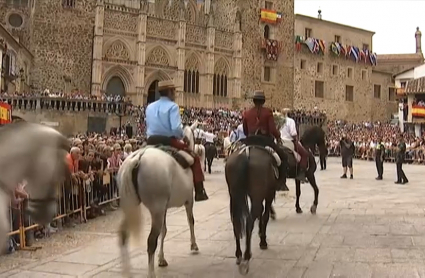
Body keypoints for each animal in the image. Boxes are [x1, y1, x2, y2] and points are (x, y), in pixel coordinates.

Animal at [117, 124, 199, 278]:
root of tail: (138, 157)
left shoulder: (164, 208)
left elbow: (164, 231)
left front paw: (161, 258)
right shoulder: (189, 201)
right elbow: (190, 221)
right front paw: (194, 245)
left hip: (131, 206)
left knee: (123, 235)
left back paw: (127, 271)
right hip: (156, 209)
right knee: (151, 241)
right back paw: (151, 273)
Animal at [224, 137, 280, 274]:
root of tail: (245, 154)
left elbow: (260, 214)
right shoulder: (269, 193)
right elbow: (264, 215)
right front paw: (263, 240)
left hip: (234, 195)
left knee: (236, 221)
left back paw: (239, 255)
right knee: (249, 221)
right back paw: (247, 256)